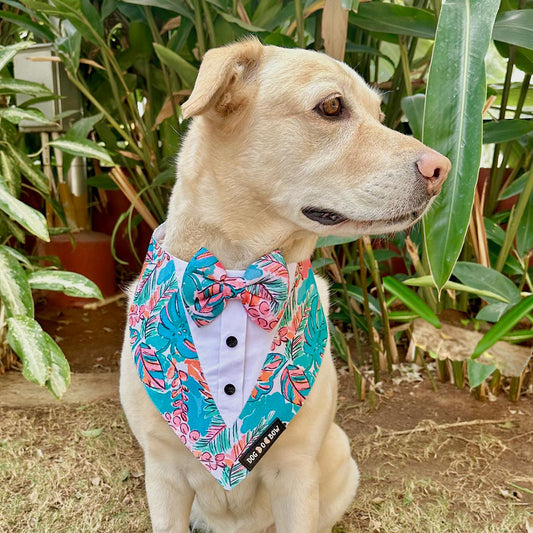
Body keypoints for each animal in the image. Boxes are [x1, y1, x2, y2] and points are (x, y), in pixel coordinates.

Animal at [120, 38, 448, 532]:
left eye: (378, 114)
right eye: (331, 106)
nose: (442, 169)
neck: (239, 280)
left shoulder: (295, 473)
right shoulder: (163, 474)